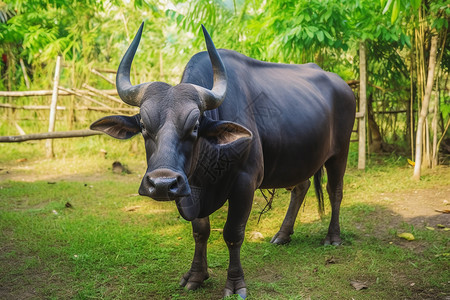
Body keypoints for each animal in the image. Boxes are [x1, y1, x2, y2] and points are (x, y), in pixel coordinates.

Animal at [90, 22, 356, 298]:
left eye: (195, 126)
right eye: (143, 125)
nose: (162, 184)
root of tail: (344, 87)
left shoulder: (245, 183)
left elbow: (233, 233)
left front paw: (235, 283)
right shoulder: (190, 186)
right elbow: (200, 231)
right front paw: (196, 275)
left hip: (341, 151)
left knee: (335, 190)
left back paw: (333, 237)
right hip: (299, 158)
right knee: (301, 187)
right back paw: (283, 234)